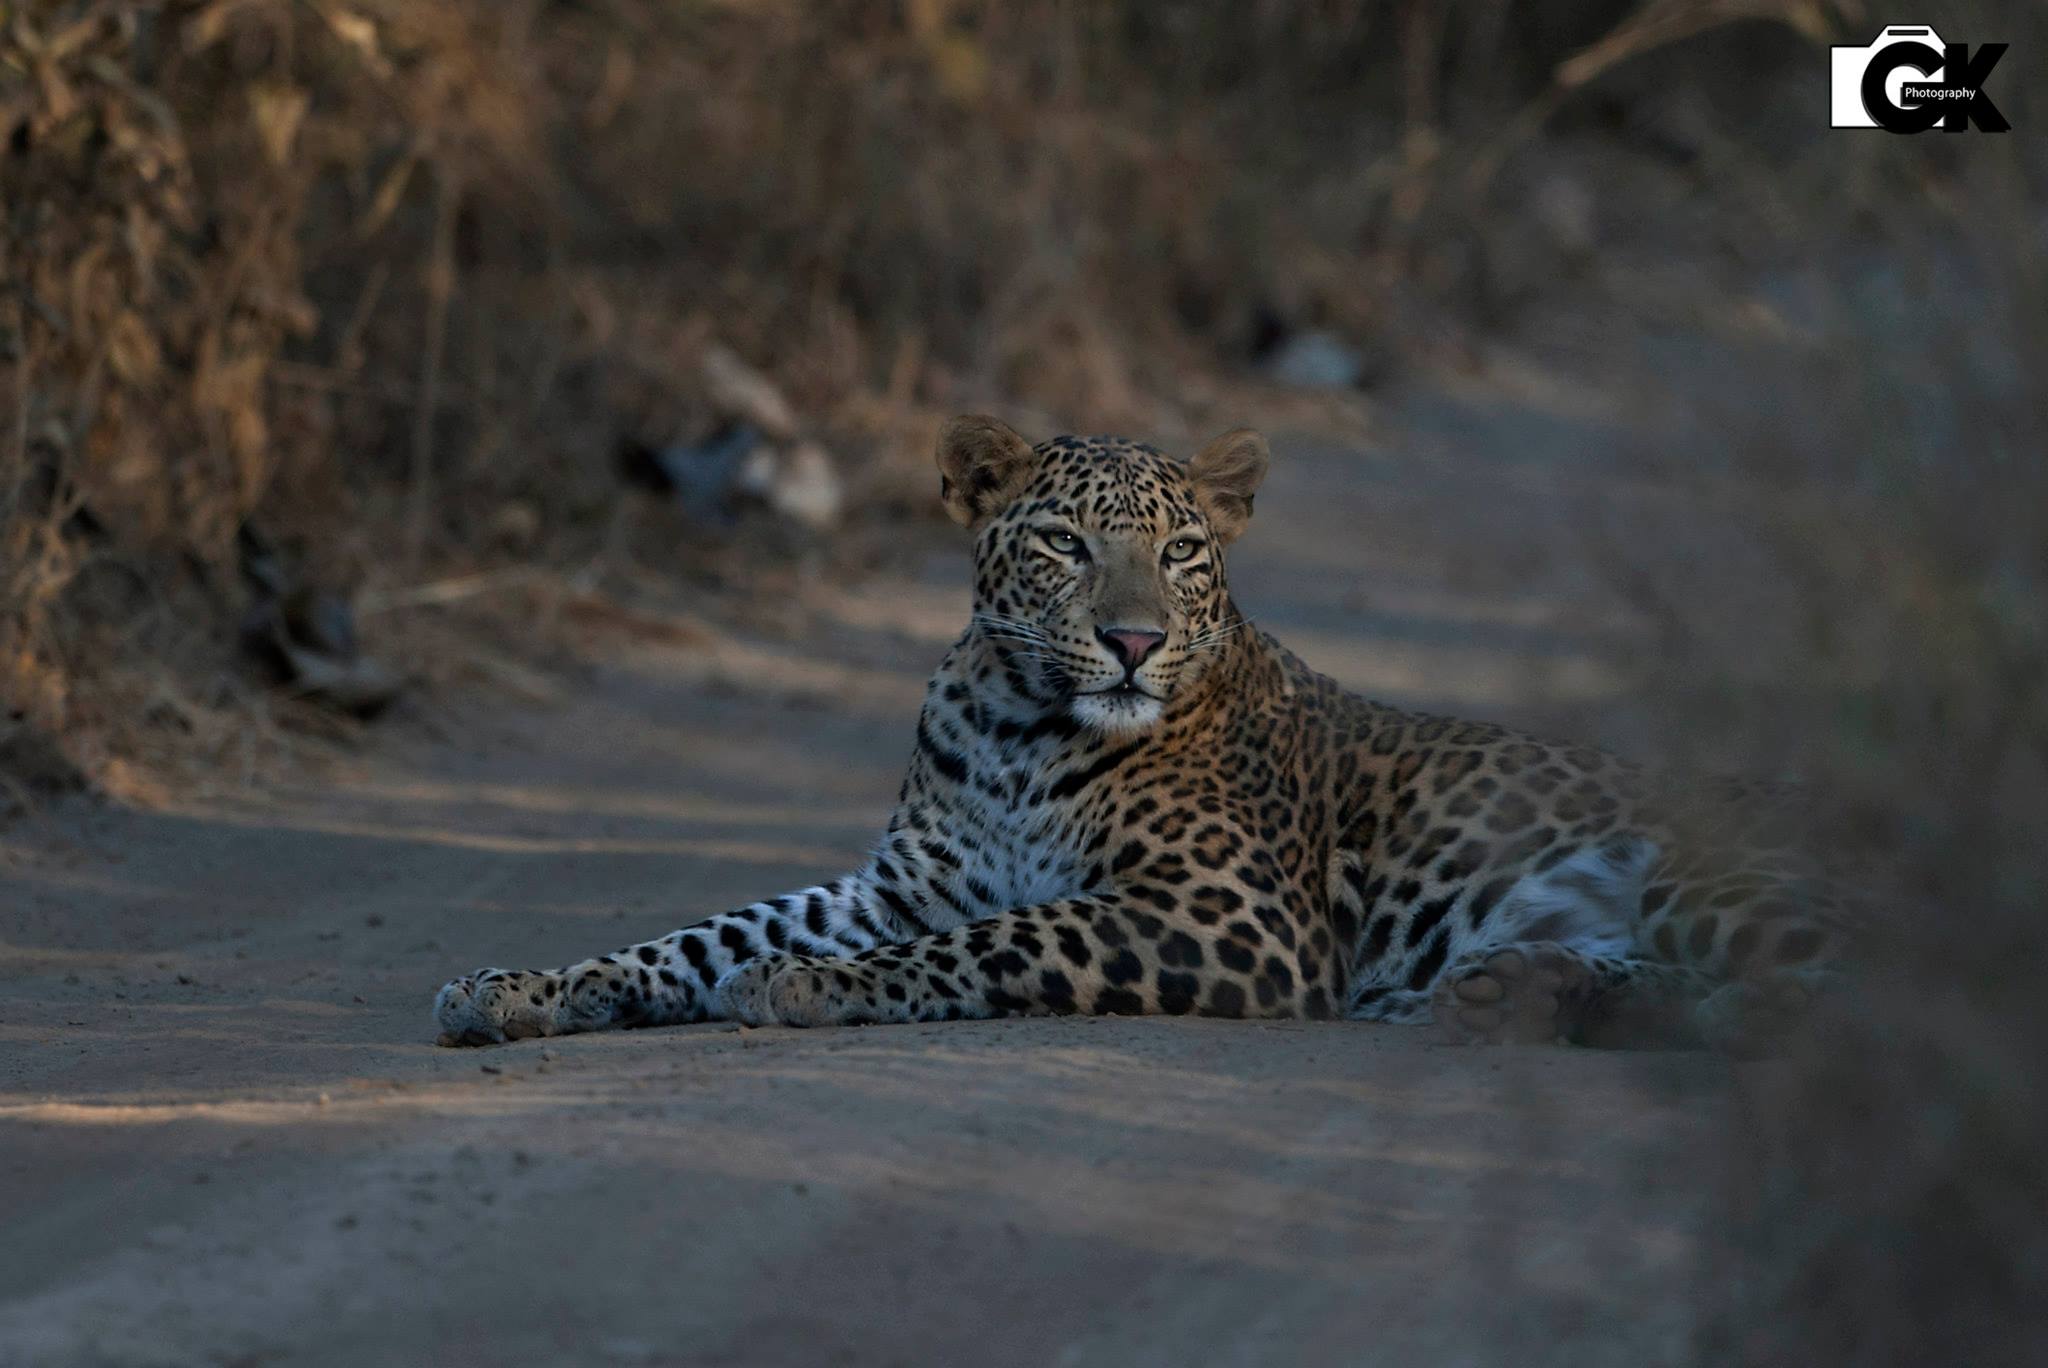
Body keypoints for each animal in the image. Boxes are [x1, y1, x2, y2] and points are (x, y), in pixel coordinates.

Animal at [432, 411, 1859, 1056]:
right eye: (1063, 546)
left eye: (1179, 553)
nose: (1129, 641)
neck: (1016, 726)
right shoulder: (898, 883)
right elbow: (700, 930)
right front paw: (518, 987)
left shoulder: (1228, 915)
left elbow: (1001, 940)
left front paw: (809, 988)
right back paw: (1511, 993)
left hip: (1707, 873)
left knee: (1840, 1006)